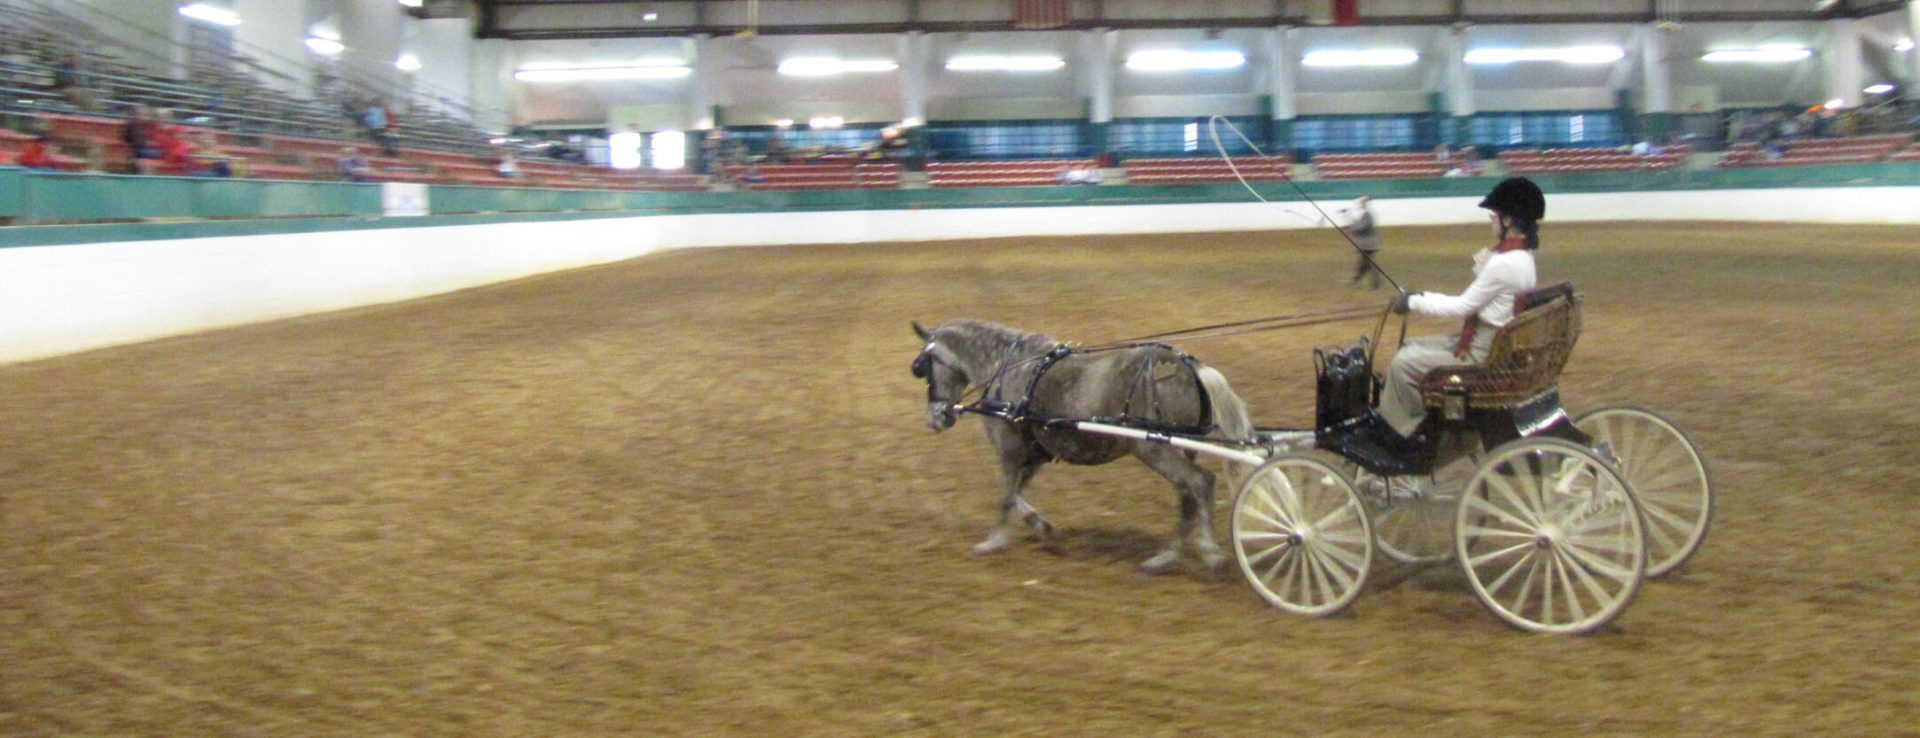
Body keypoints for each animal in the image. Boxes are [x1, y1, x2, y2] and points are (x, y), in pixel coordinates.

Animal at [913, 319, 1259, 572]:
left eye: (923, 366)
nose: (935, 419)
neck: (1007, 367)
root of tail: (1188, 366)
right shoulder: (1036, 451)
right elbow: (1018, 493)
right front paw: (1041, 527)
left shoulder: (1009, 448)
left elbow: (1005, 495)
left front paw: (993, 541)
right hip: (1181, 447)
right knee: (1187, 497)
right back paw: (1165, 557)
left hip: (1155, 448)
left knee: (1201, 483)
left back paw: (1209, 552)